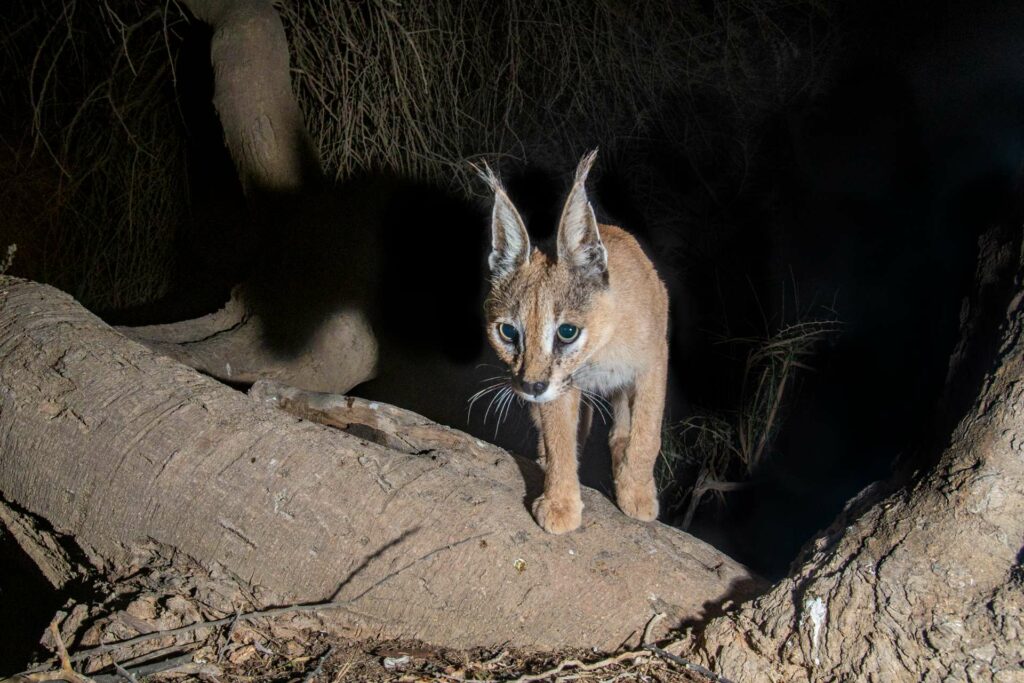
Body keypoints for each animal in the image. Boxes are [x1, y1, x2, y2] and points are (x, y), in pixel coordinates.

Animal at [475, 150, 667, 532]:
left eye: (567, 332)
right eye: (508, 333)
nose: (530, 386)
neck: (600, 349)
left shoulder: (653, 361)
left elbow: (647, 432)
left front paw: (637, 493)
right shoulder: (559, 387)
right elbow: (560, 438)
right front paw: (560, 502)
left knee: (623, 427)